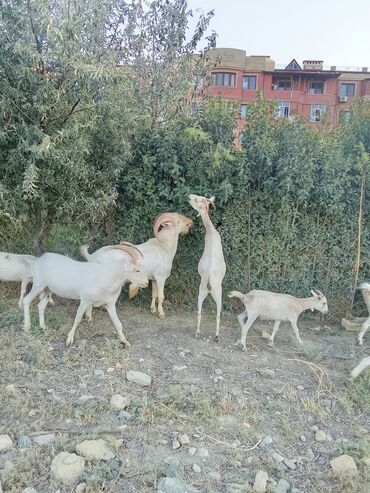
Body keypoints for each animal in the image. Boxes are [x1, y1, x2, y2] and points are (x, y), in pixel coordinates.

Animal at [189, 194, 227, 340]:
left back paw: (197, 333)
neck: (211, 232)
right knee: (217, 313)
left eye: (197, 199)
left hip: (201, 291)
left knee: (199, 311)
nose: (189, 196)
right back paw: (216, 335)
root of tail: (210, 282)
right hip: (218, 293)